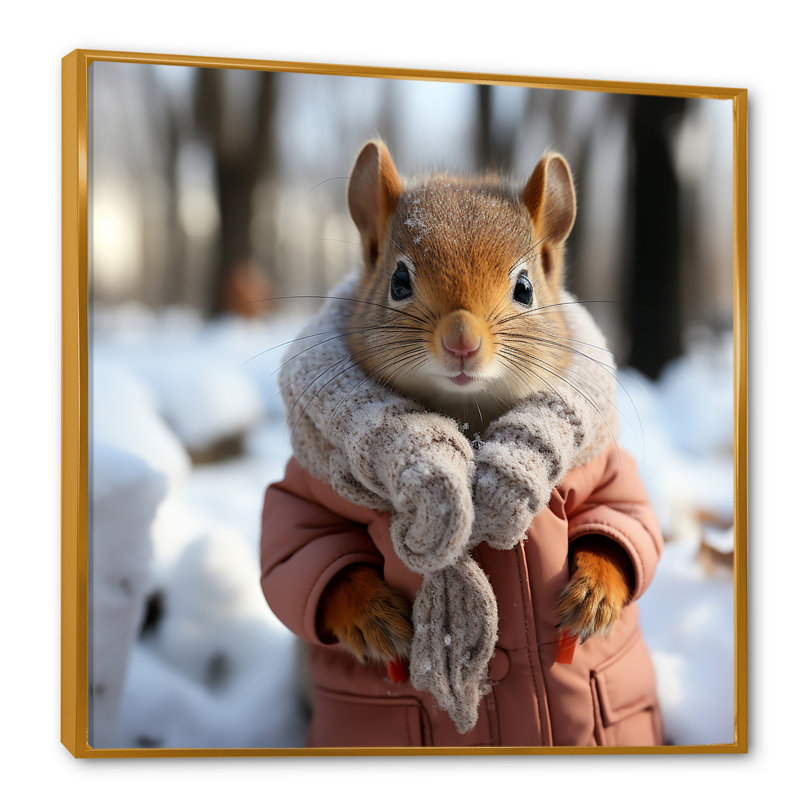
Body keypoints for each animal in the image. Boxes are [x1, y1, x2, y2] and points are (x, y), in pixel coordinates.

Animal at [315, 141, 634, 667]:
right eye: (398, 281)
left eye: (525, 287)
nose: (461, 340)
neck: (467, 413)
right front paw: (369, 616)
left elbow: (616, 517)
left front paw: (594, 594)